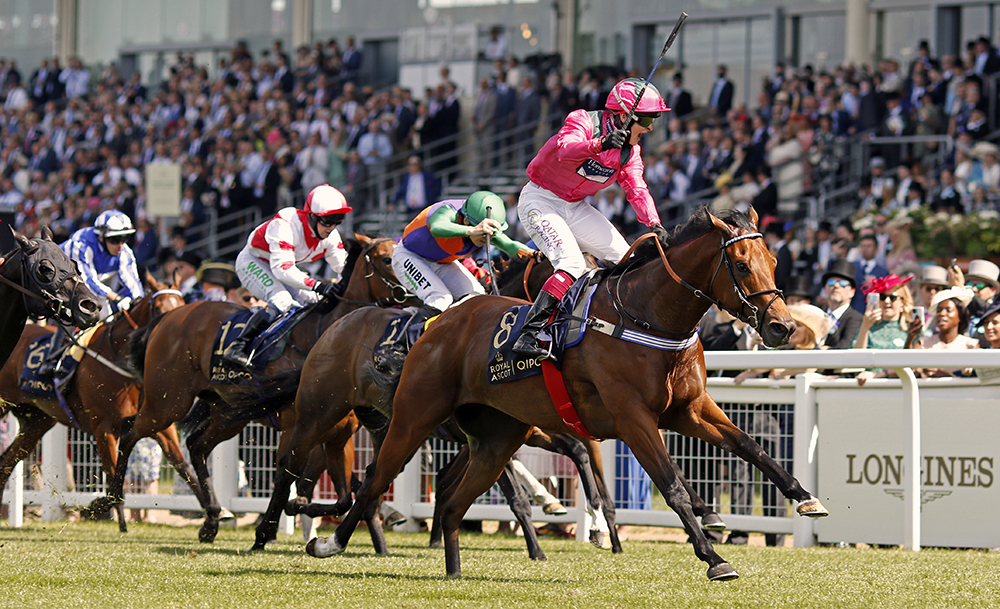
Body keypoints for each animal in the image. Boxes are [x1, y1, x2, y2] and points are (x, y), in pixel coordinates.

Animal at [0, 272, 188, 524]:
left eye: (184, 305)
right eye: (157, 308)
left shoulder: (158, 426)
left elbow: (183, 466)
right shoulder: (104, 429)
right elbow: (115, 481)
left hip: (37, 421)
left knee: (7, 462)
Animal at [88, 234, 410, 540]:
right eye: (386, 259)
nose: (409, 293)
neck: (327, 337)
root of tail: (168, 317)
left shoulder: (339, 429)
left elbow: (341, 486)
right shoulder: (298, 426)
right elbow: (288, 473)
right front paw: (268, 529)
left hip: (227, 413)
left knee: (196, 445)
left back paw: (212, 519)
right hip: (168, 402)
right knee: (131, 430)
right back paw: (110, 499)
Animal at [308, 208, 832, 580]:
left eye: (775, 262)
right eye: (741, 265)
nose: (783, 327)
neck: (647, 316)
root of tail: (440, 321)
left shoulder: (689, 409)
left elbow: (752, 447)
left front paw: (805, 498)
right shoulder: (633, 419)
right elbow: (673, 486)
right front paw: (713, 557)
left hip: (497, 438)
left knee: (455, 500)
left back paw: (453, 570)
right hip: (415, 416)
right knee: (375, 478)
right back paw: (329, 542)